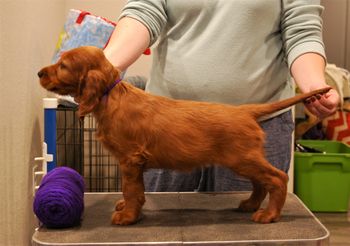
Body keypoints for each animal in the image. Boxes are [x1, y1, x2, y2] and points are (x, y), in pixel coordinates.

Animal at [38, 45, 330, 225]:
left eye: (63, 66)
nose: (39, 72)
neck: (111, 97)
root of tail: (245, 110)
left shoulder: (130, 160)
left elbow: (131, 189)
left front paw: (128, 217)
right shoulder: (134, 162)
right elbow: (136, 191)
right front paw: (127, 209)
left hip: (242, 158)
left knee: (277, 178)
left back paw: (269, 215)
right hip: (244, 160)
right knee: (261, 182)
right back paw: (250, 205)